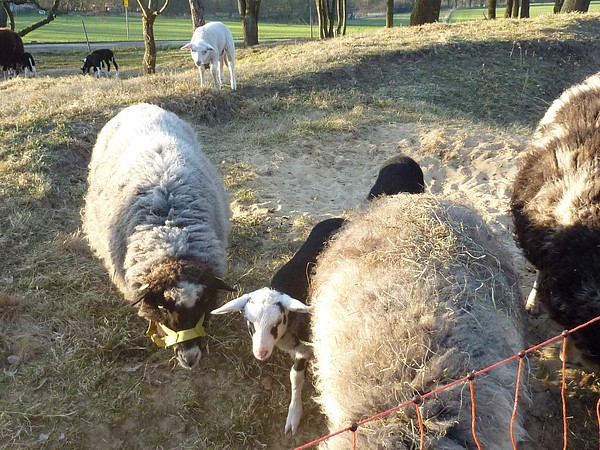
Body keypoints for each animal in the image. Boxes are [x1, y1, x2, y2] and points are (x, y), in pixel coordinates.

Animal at [211, 217, 345, 434]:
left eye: (277, 321)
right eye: (249, 323)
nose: (261, 353)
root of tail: (337, 218)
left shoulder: (305, 347)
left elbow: (295, 376)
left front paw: (294, 415)